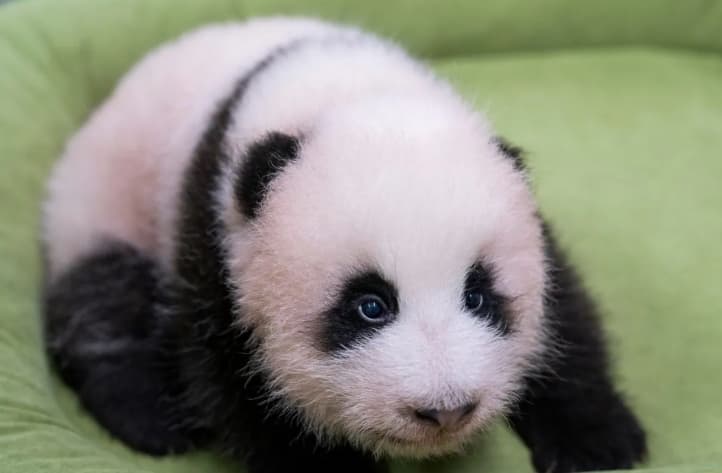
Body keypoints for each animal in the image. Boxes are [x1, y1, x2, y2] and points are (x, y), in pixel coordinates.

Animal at [41, 17, 647, 473]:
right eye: (370, 306)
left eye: (479, 296)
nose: (445, 410)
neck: (348, 94)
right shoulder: (215, 236)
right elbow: (246, 386)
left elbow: (565, 315)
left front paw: (600, 440)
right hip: (104, 197)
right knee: (105, 301)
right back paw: (148, 416)